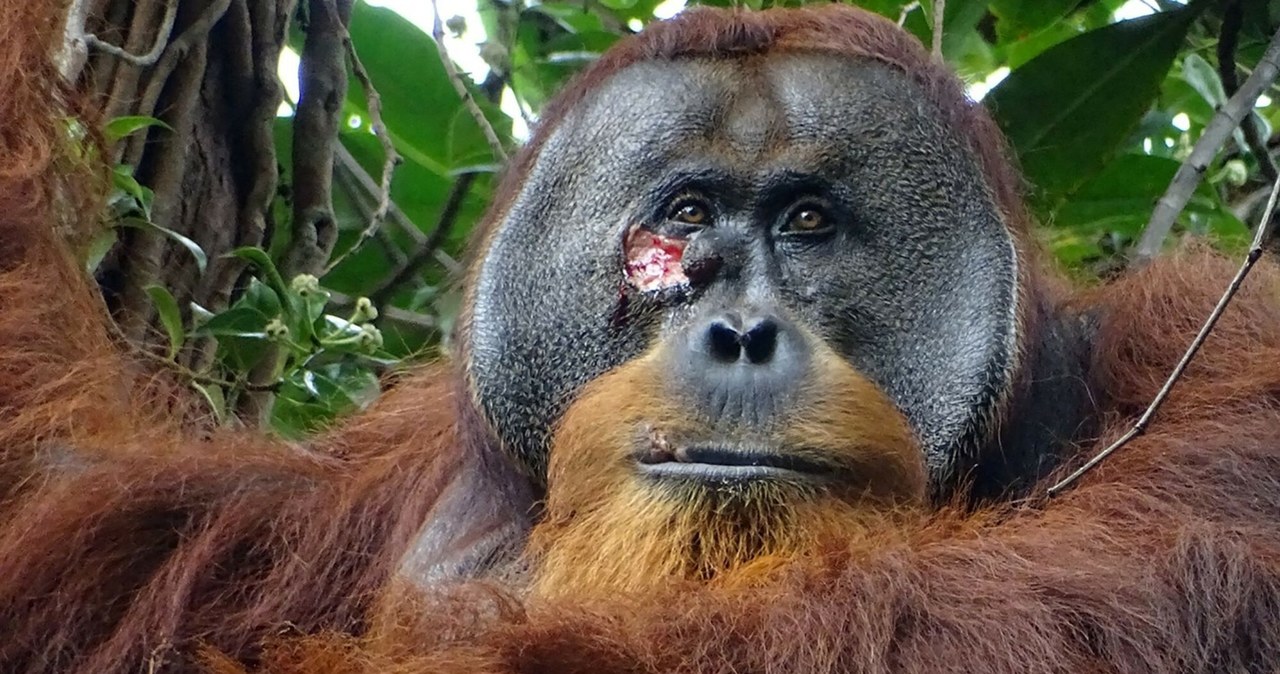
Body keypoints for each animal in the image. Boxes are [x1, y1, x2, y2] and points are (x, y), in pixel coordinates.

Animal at [2, 2, 1280, 673]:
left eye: (805, 222)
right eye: (686, 217)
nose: (738, 329)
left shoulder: (1197, 354)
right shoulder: (346, 499)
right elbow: (65, 500)